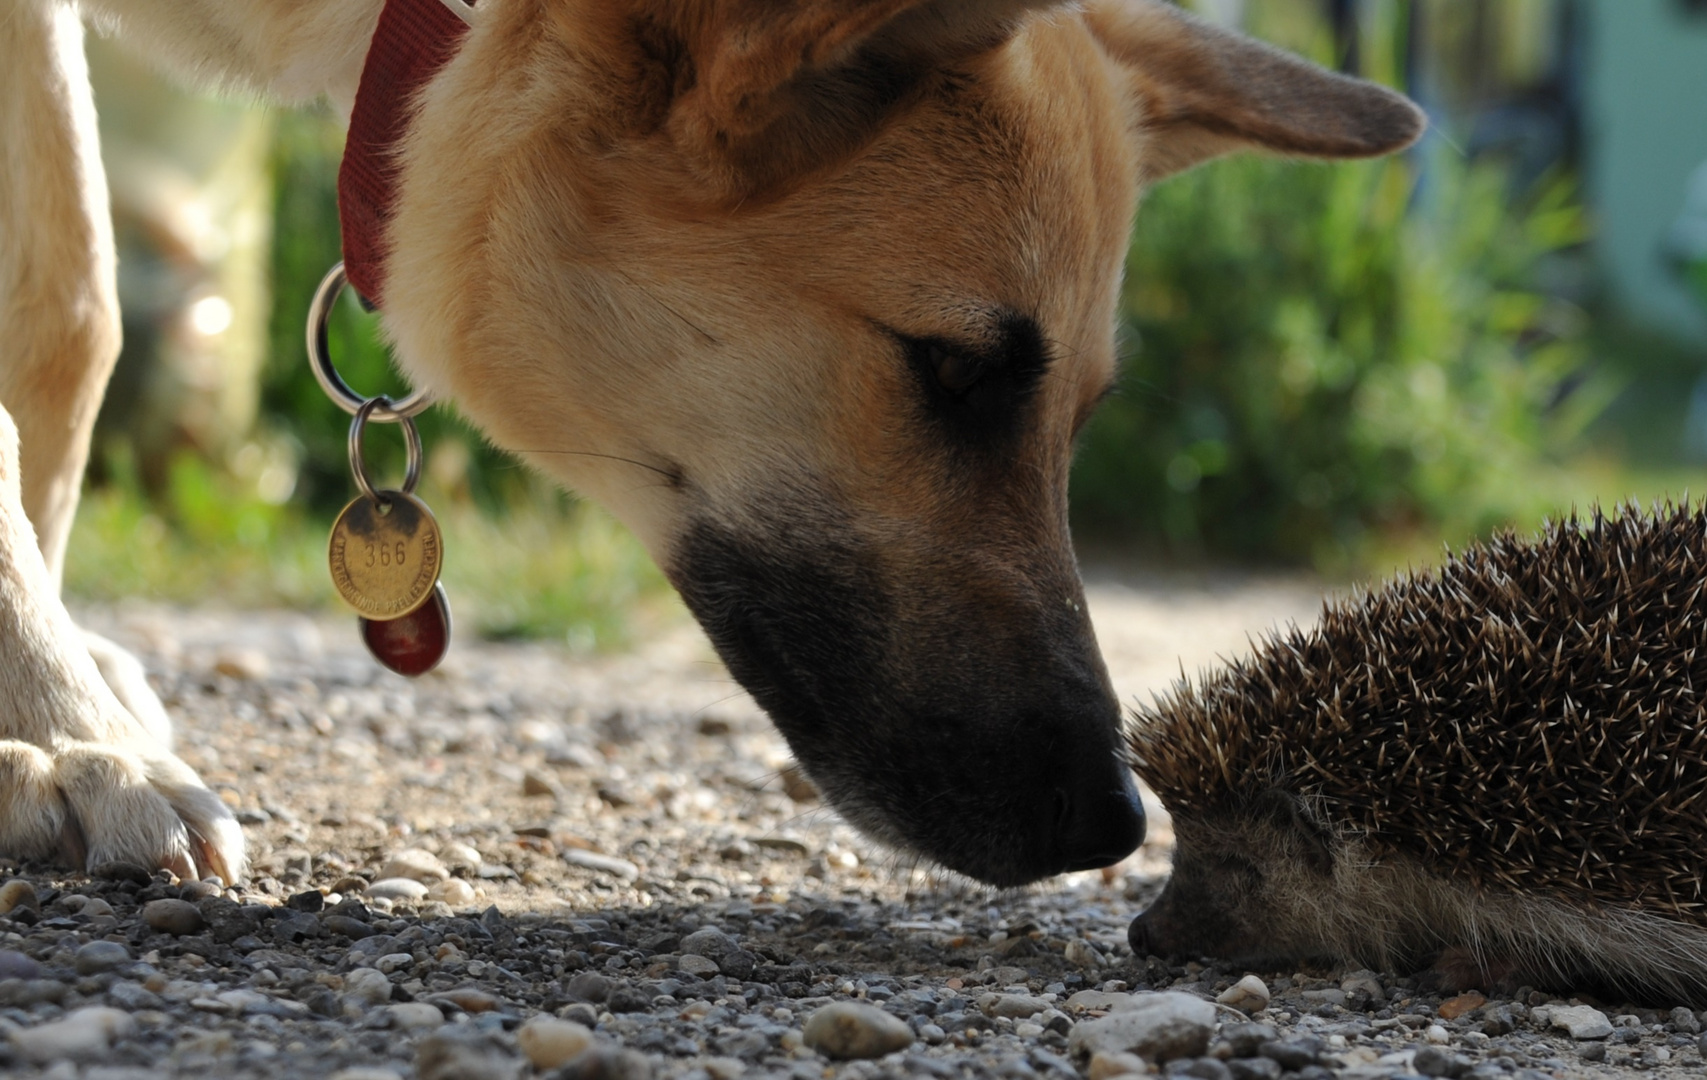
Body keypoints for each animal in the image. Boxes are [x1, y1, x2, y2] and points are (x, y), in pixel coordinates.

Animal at [0, 0, 1420, 887]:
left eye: (1083, 411)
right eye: (956, 370)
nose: (1117, 824)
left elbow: (69, 318)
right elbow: (68, 304)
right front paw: (63, 735)